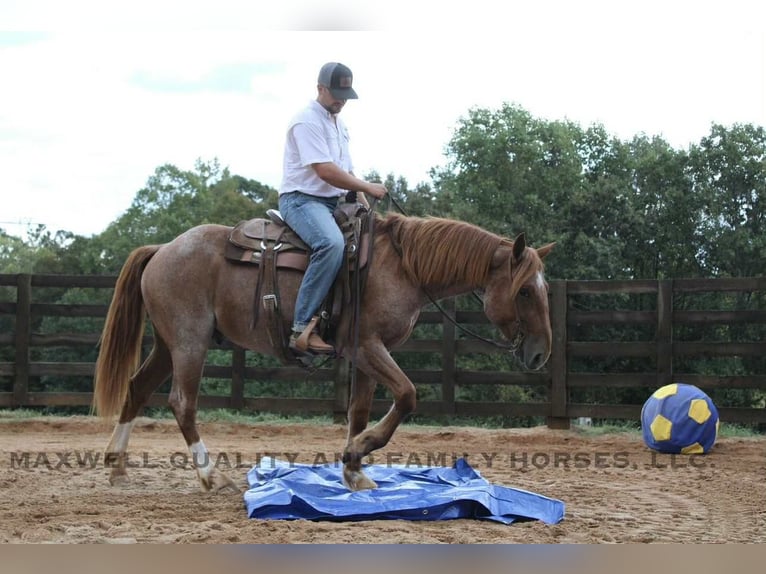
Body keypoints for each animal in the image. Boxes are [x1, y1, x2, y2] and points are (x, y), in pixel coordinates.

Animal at [93, 211, 555, 493]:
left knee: (137, 390)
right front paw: (357, 451)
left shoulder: (367, 355)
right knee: (182, 403)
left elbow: (360, 411)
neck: (402, 268)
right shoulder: (368, 347)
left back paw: (117, 466)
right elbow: (407, 396)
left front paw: (354, 470)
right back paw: (211, 476)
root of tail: (163, 249)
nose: (540, 355)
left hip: (167, 344)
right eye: (525, 291)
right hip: (190, 341)